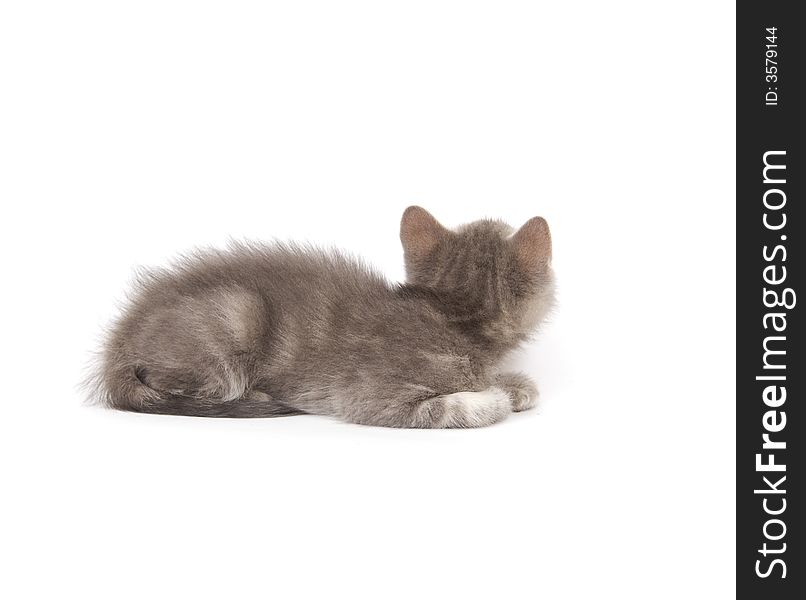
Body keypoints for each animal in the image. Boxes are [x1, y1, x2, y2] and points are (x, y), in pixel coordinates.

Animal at [88, 206, 556, 426]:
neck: (451, 317)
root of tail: (117, 349)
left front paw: (511, 383)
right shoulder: (372, 395)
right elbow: (451, 407)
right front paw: (496, 396)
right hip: (235, 315)